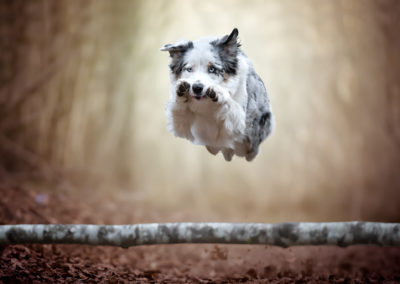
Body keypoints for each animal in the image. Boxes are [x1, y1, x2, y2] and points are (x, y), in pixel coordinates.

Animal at [161, 28, 274, 162]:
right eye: (189, 69)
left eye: (212, 69)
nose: (197, 88)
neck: (205, 104)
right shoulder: (183, 126)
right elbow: (178, 112)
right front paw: (181, 90)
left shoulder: (239, 124)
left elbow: (232, 107)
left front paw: (218, 92)